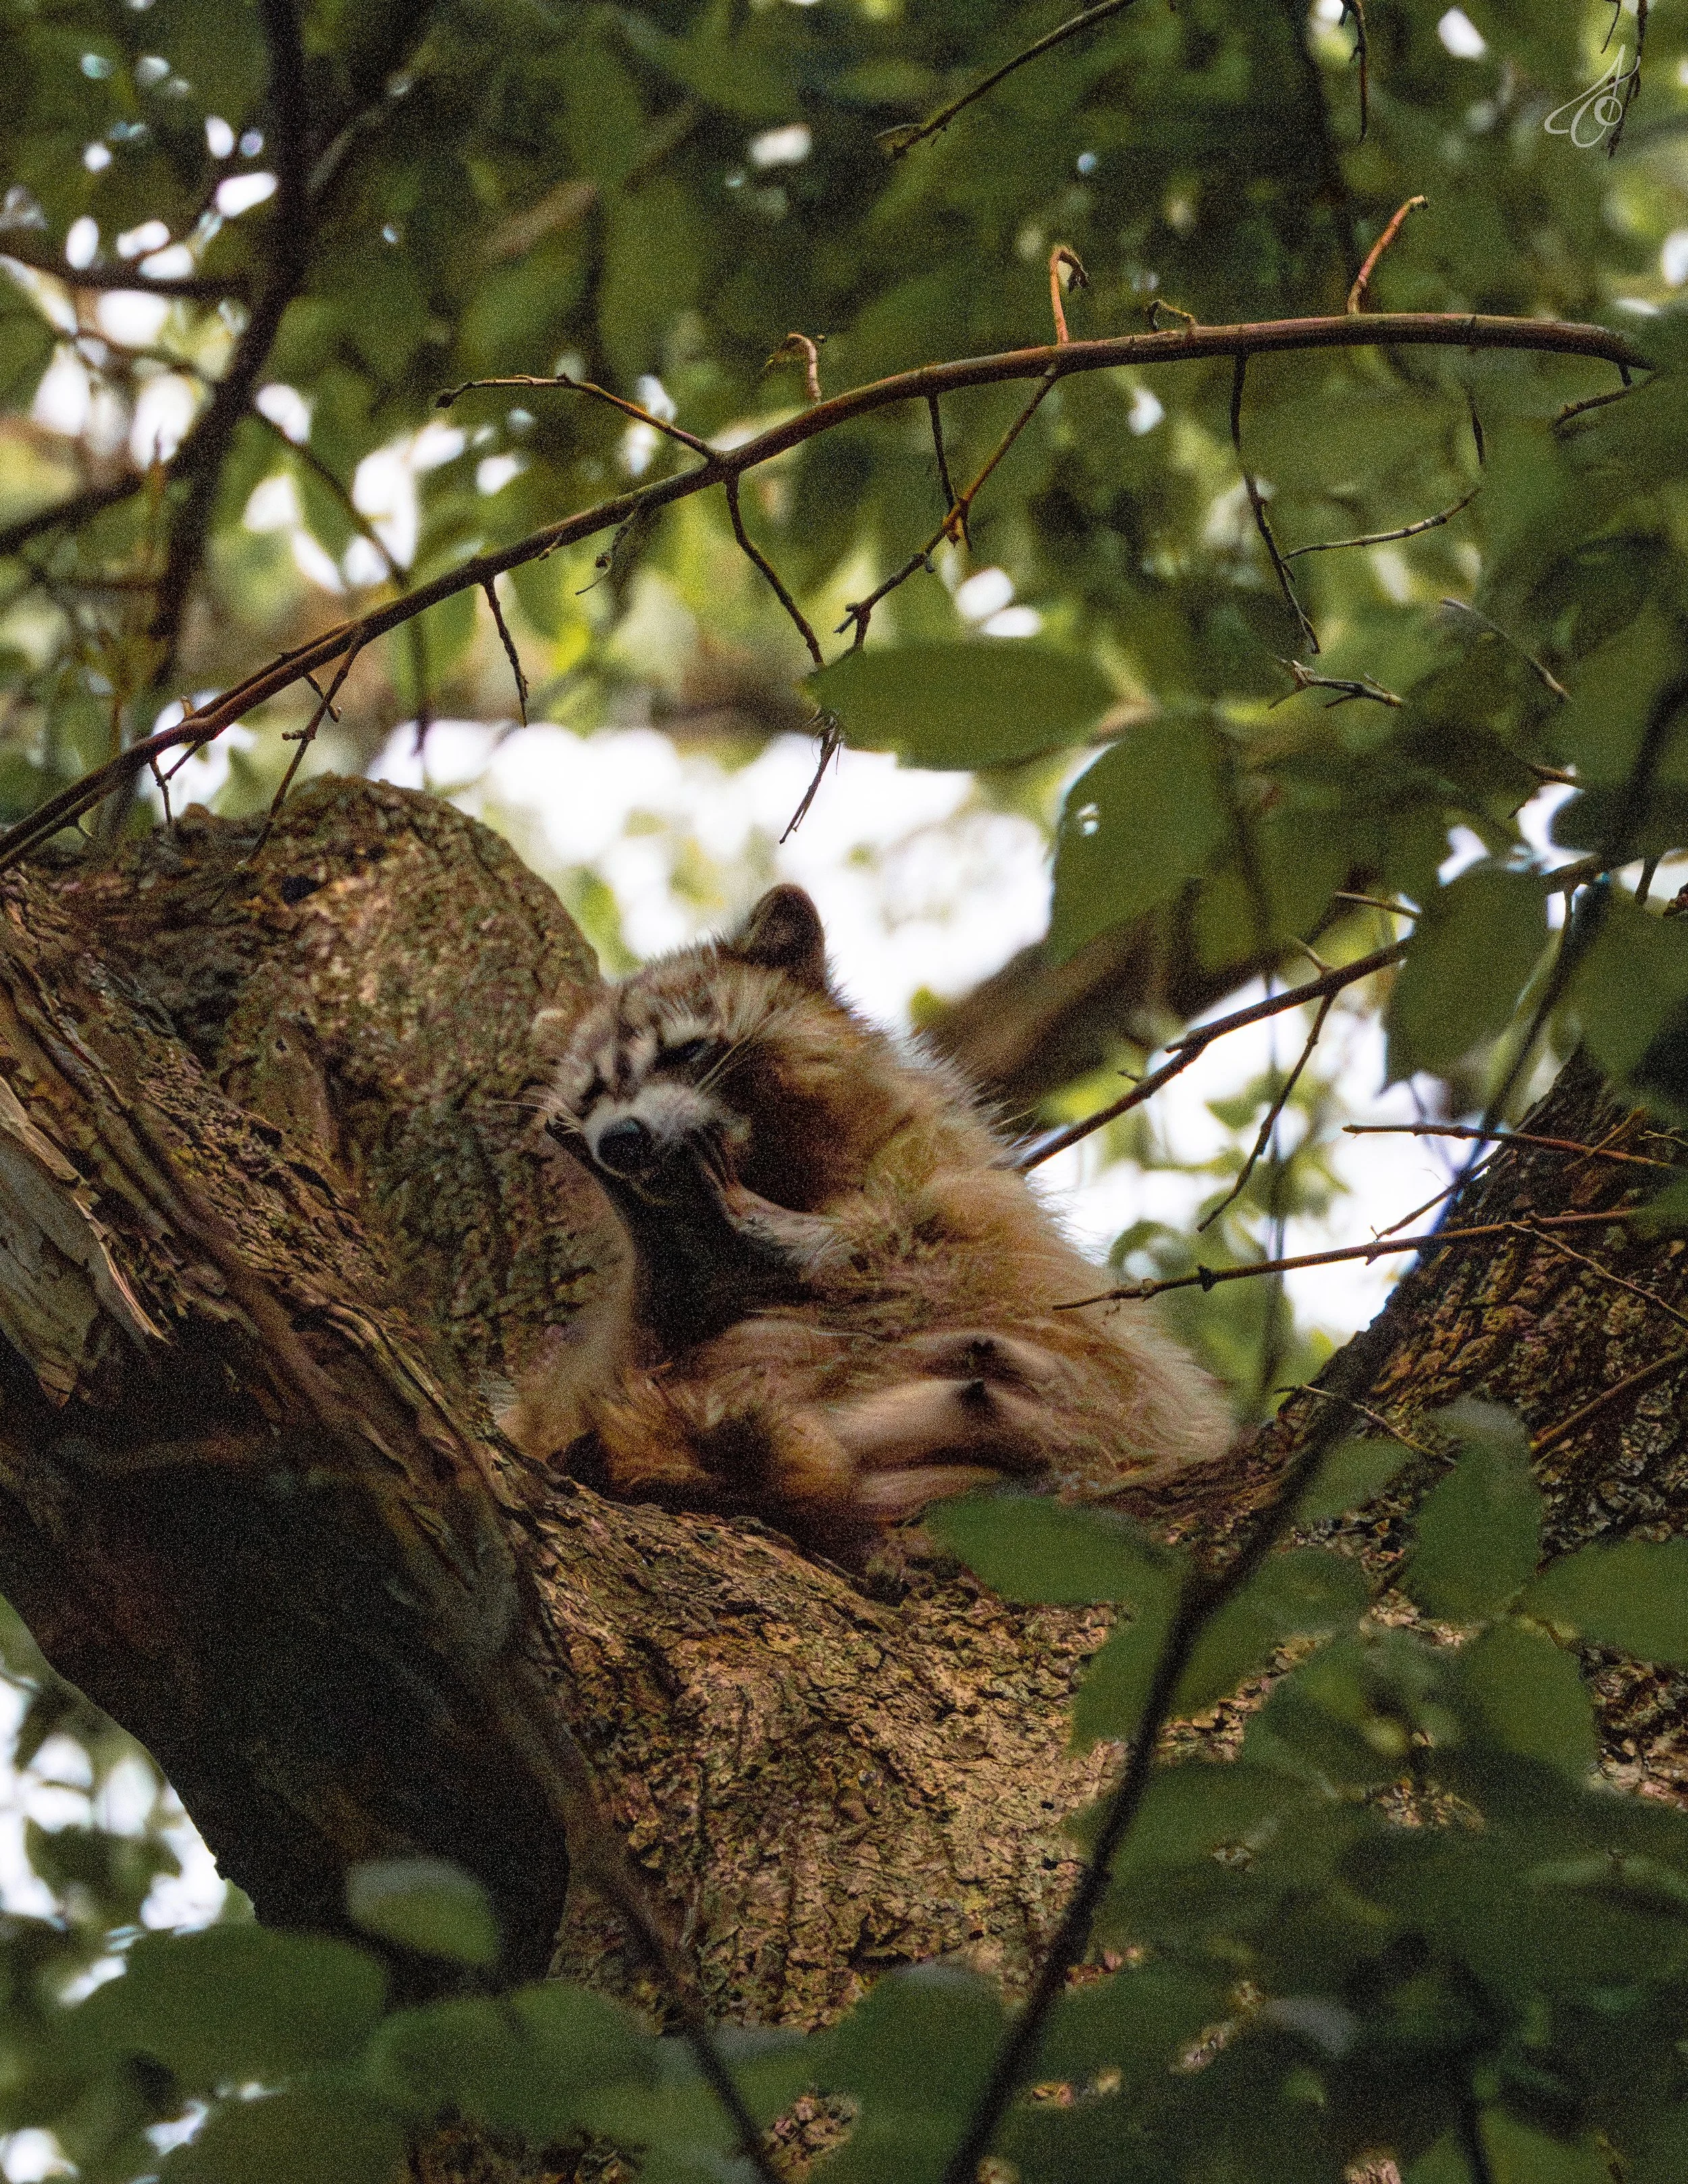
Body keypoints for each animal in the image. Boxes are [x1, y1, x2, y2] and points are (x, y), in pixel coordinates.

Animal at [502, 885, 1230, 1557]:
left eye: (684, 1053)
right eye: (591, 1096)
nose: (619, 1142)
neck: (778, 1166)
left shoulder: (942, 1165)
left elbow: (952, 1236)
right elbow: (613, 1358)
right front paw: (673, 1260)